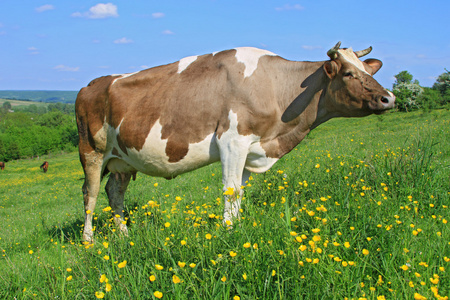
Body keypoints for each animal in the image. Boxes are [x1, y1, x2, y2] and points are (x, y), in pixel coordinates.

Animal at [76, 42, 394, 243]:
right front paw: (228, 234)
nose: (388, 98)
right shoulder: (232, 142)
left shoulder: (251, 149)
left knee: (114, 192)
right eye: (348, 73)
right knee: (90, 195)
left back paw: (124, 235)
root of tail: (91, 84)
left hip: (122, 160)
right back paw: (89, 241)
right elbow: (231, 191)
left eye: (369, 72)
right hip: (91, 151)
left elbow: (240, 193)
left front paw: (237, 228)